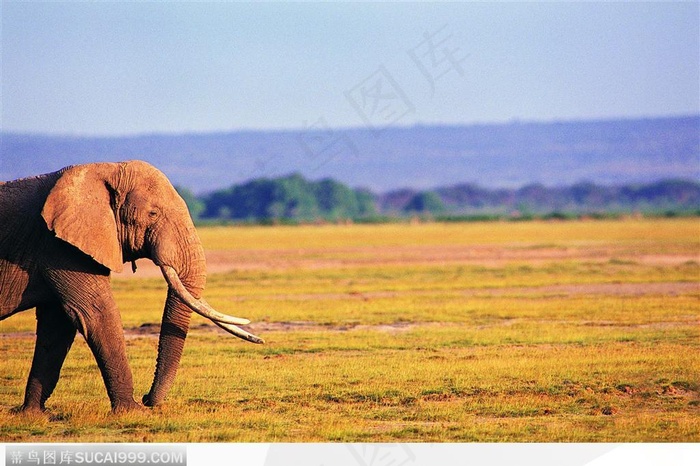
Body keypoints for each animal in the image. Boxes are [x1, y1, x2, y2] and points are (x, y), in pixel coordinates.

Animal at [0, 159, 262, 412]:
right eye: (153, 213)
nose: (147, 398)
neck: (104, 168)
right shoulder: (60, 247)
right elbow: (96, 314)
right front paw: (132, 411)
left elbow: (58, 324)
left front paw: (34, 414)